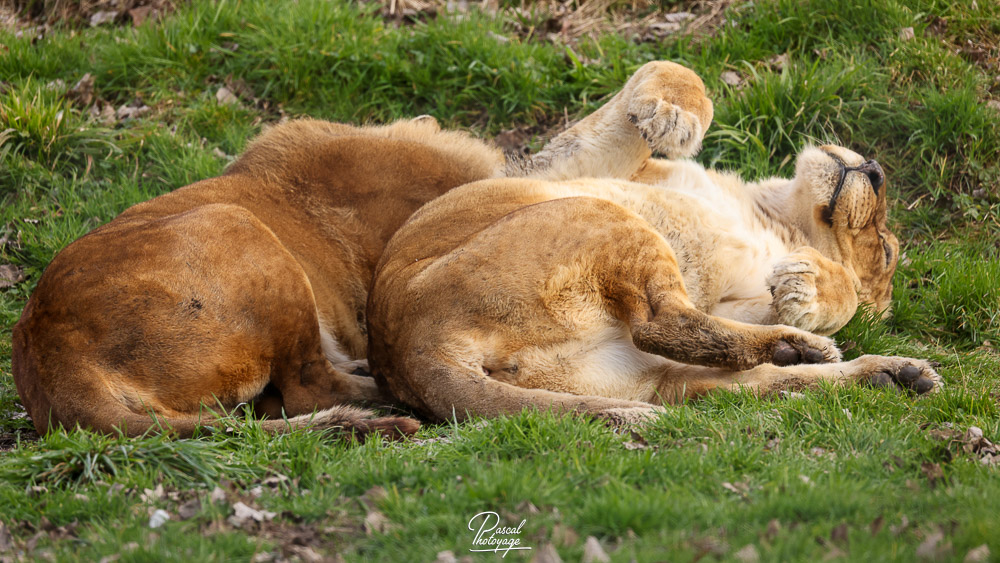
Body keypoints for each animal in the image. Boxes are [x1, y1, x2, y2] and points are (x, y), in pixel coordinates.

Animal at [367, 61, 942, 425]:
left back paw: (877, 370)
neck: (771, 213)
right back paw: (829, 356)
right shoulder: (576, 168)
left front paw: (809, 285)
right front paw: (675, 116)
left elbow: (839, 296)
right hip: (603, 217)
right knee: (680, 333)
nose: (876, 170)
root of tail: (407, 349)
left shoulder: (734, 298)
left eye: (885, 250)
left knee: (667, 328)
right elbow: (669, 69)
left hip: (615, 263)